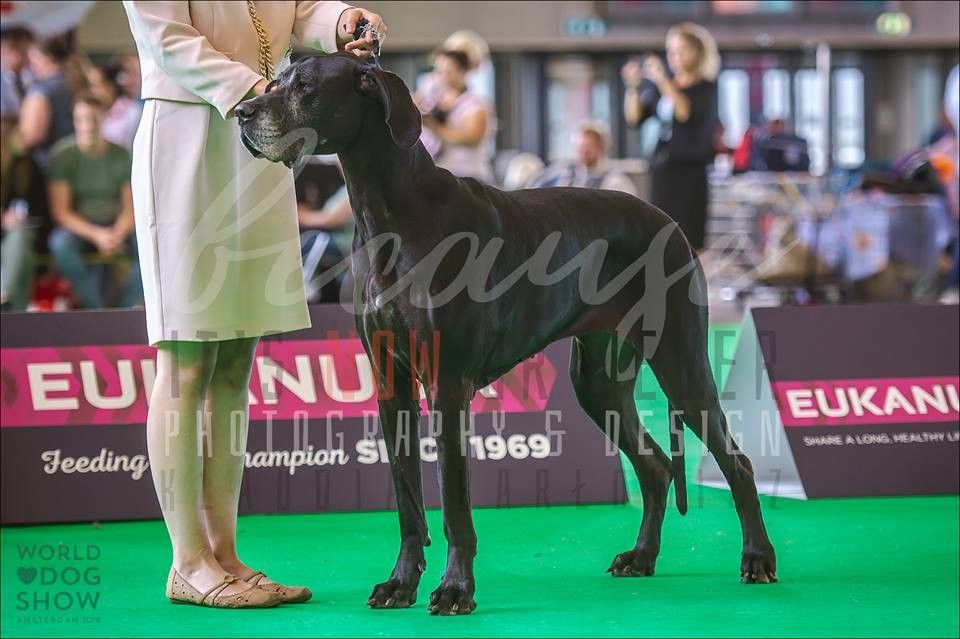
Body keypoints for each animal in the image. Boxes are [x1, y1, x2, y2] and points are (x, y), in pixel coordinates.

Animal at [237, 53, 777, 616]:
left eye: (305, 86)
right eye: (275, 79)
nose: (241, 113)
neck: (391, 212)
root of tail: (669, 223)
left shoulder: (447, 385)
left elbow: (454, 503)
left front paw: (455, 589)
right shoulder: (391, 385)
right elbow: (408, 501)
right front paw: (401, 583)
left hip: (680, 362)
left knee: (736, 462)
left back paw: (757, 559)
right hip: (598, 382)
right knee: (655, 468)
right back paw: (641, 557)